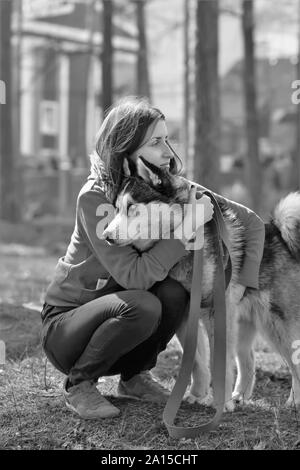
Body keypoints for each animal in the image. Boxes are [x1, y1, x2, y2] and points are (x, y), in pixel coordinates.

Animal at [102, 158, 300, 412]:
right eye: (116, 208)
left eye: (131, 207)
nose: (106, 236)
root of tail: (278, 231)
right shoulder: (187, 314)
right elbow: (196, 360)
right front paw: (197, 394)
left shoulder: (218, 312)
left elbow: (219, 362)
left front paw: (221, 403)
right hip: (245, 325)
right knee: (248, 360)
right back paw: (240, 396)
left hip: (277, 326)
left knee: (295, 362)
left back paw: (293, 401)